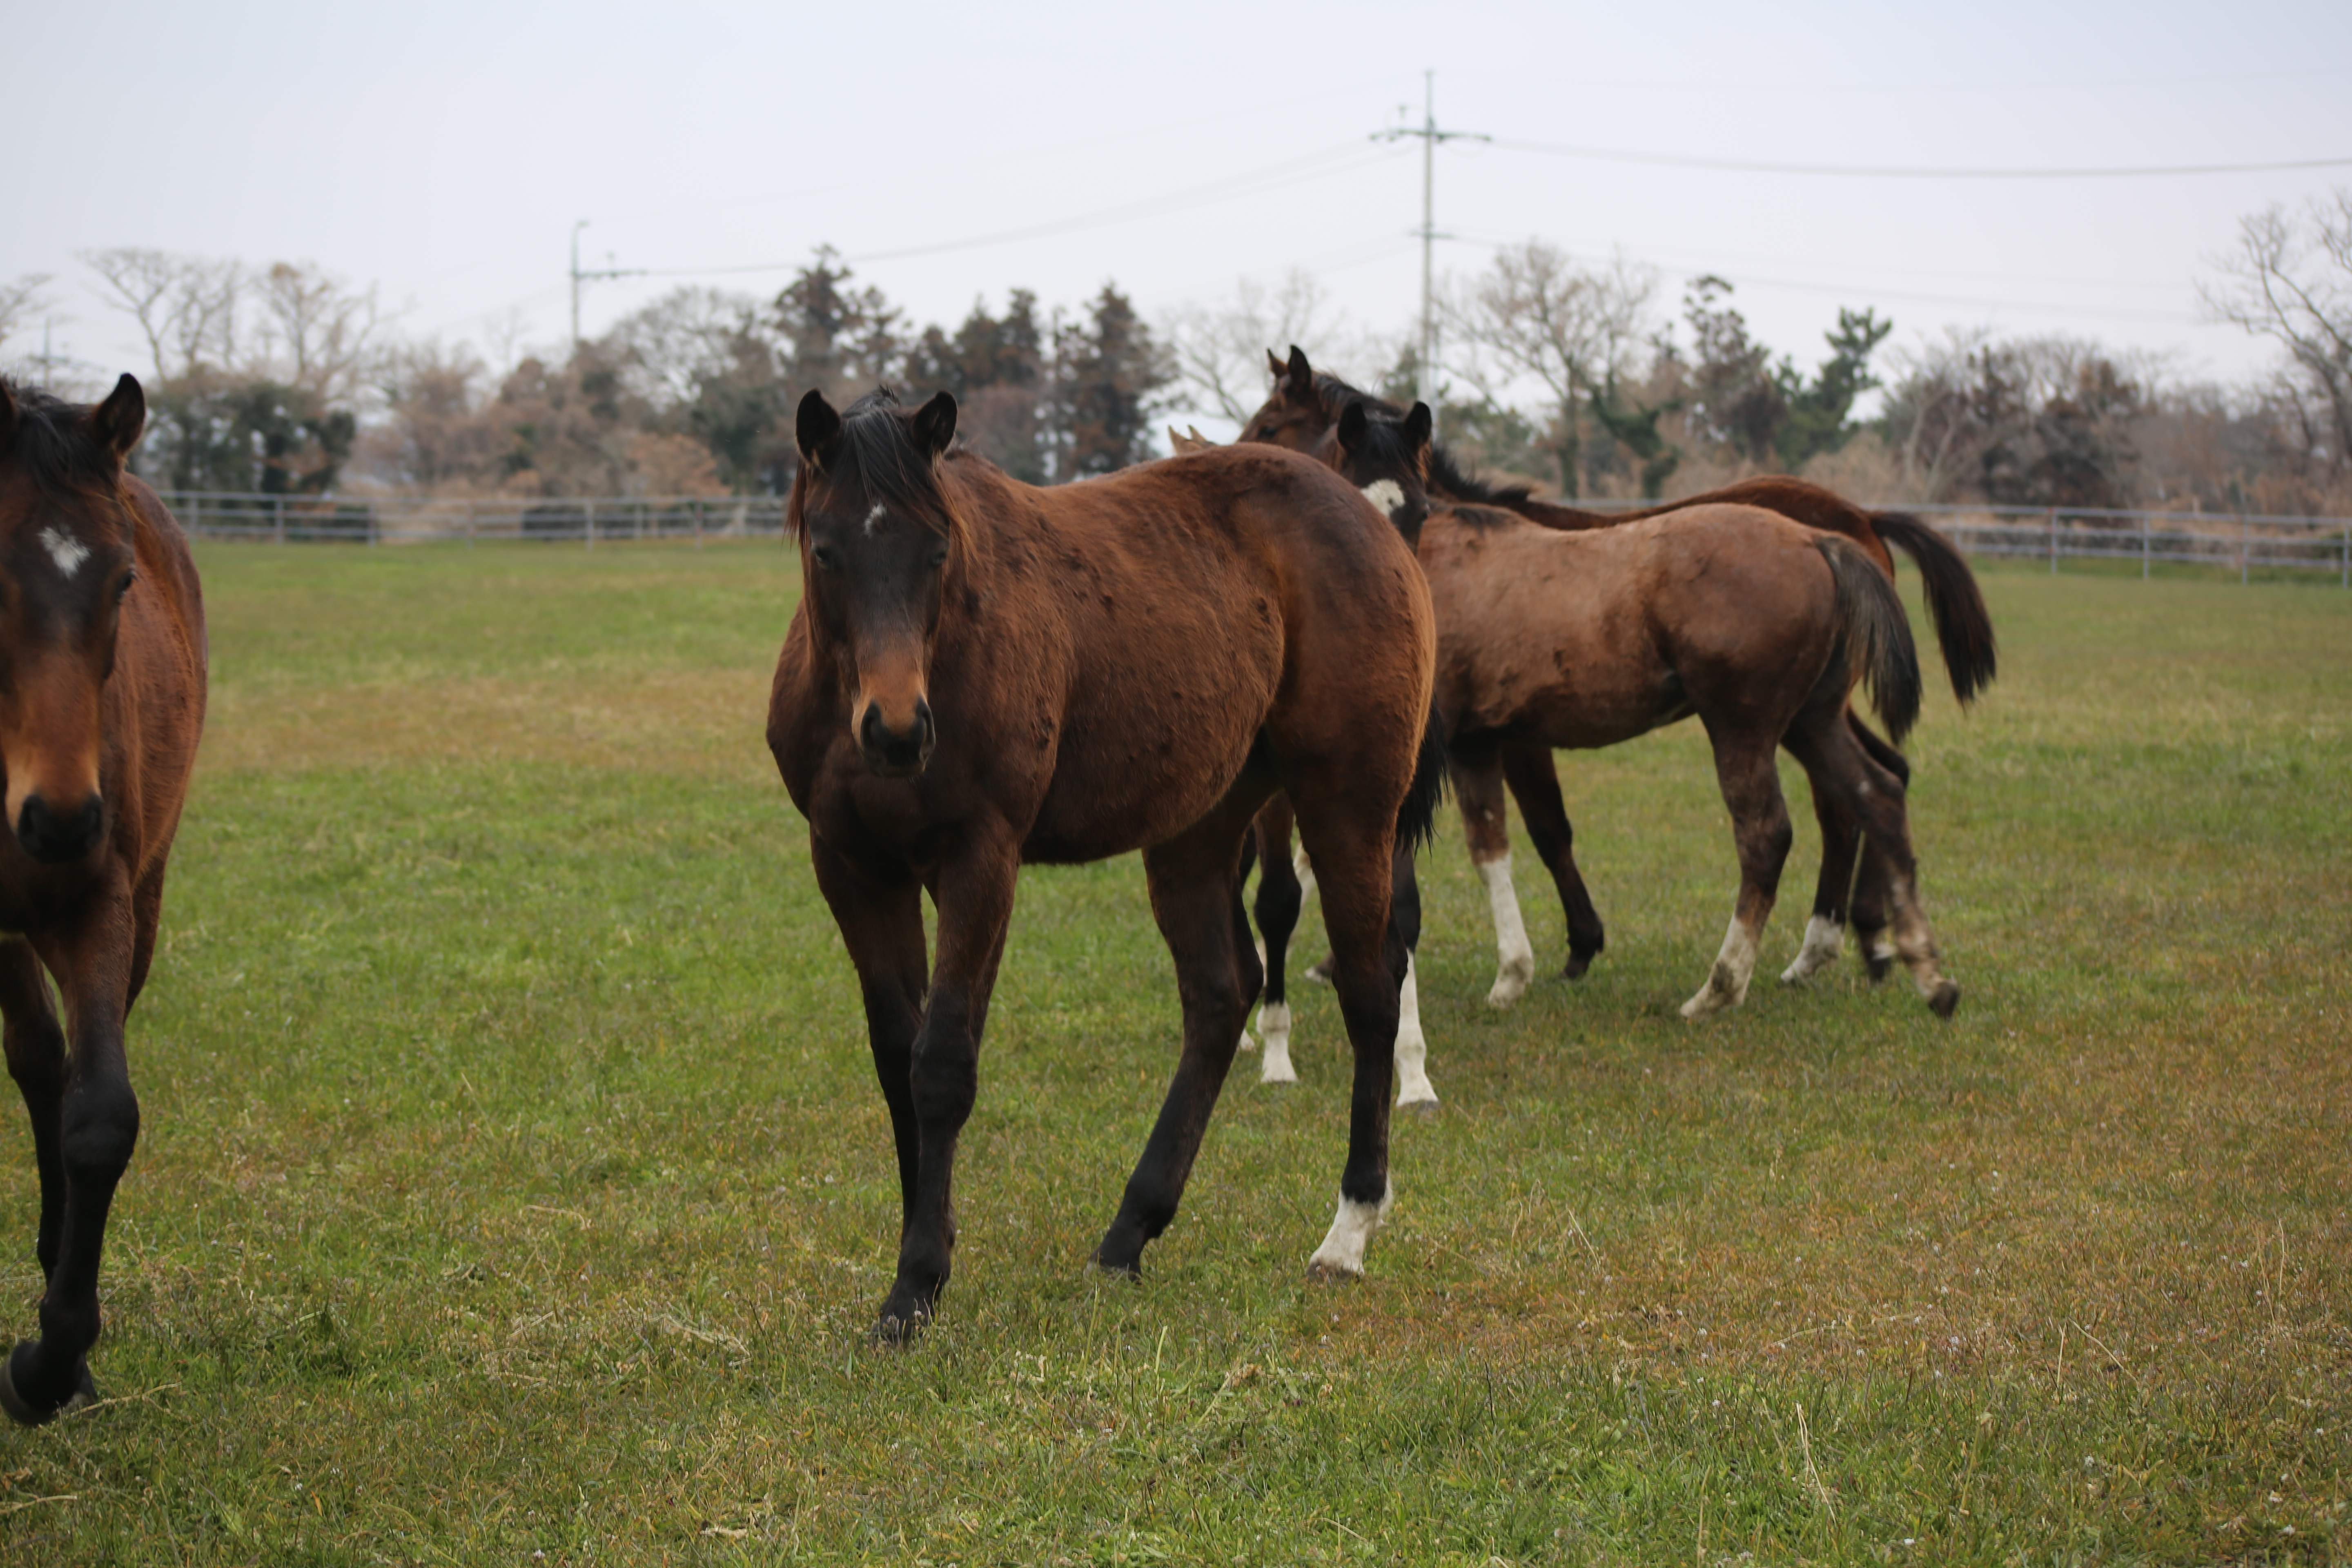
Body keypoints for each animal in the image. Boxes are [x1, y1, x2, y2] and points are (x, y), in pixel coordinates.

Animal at [766, 385, 1430, 1335]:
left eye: (937, 550)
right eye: (826, 550)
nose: (896, 731)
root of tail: (1373, 525)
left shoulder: (981, 862)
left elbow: (942, 1064)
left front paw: (918, 1279)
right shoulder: (854, 869)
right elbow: (897, 1060)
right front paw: (920, 1252)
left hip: (1348, 808)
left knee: (1371, 991)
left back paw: (1348, 1232)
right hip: (1196, 829)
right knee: (1220, 994)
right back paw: (1130, 1232)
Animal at [1242, 345, 1994, 1006]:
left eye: (1269, 426)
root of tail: (1824, 537)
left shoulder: (1451, 744)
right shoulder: (1481, 742)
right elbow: (1496, 846)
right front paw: (1516, 972)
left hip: (1744, 726)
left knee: (1770, 833)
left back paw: (1725, 986)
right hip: (1811, 719)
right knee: (1876, 793)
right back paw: (1917, 968)